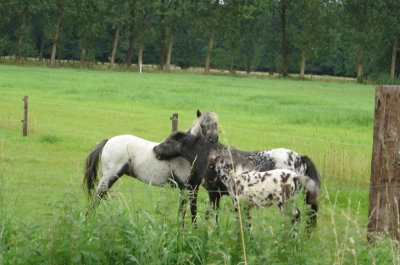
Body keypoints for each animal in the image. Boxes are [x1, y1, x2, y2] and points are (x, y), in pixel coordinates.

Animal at [82, 109, 217, 223]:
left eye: (216, 124)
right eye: (202, 125)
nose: (214, 138)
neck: (184, 155)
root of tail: (108, 141)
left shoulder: (194, 188)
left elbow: (193, 212)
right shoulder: (184, 188)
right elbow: (182, 213)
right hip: (108, 178)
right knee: (96, 199)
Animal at [153, 130, 322, 229]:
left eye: (169, 141)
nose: (155, 150)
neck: (209, 156)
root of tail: (300, 157)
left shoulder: (214, 193)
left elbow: (212, 215)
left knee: (296, 217)